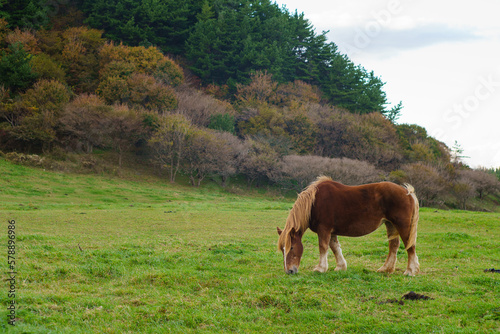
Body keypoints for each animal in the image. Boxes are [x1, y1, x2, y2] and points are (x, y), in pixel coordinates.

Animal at [276, 176, 420, 276]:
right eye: (283, 250)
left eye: (292, 247)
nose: (289, 271)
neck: (314, 202)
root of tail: (407, 192)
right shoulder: (331, 231)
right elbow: (334, 247)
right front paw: (340, 267)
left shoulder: (324, 229)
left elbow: (323, 247)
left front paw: (320, 268)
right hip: (390, 224)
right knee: (394, 245)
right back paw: (385, 269)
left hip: (403, 225)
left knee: (410, 246)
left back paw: (410, 271)